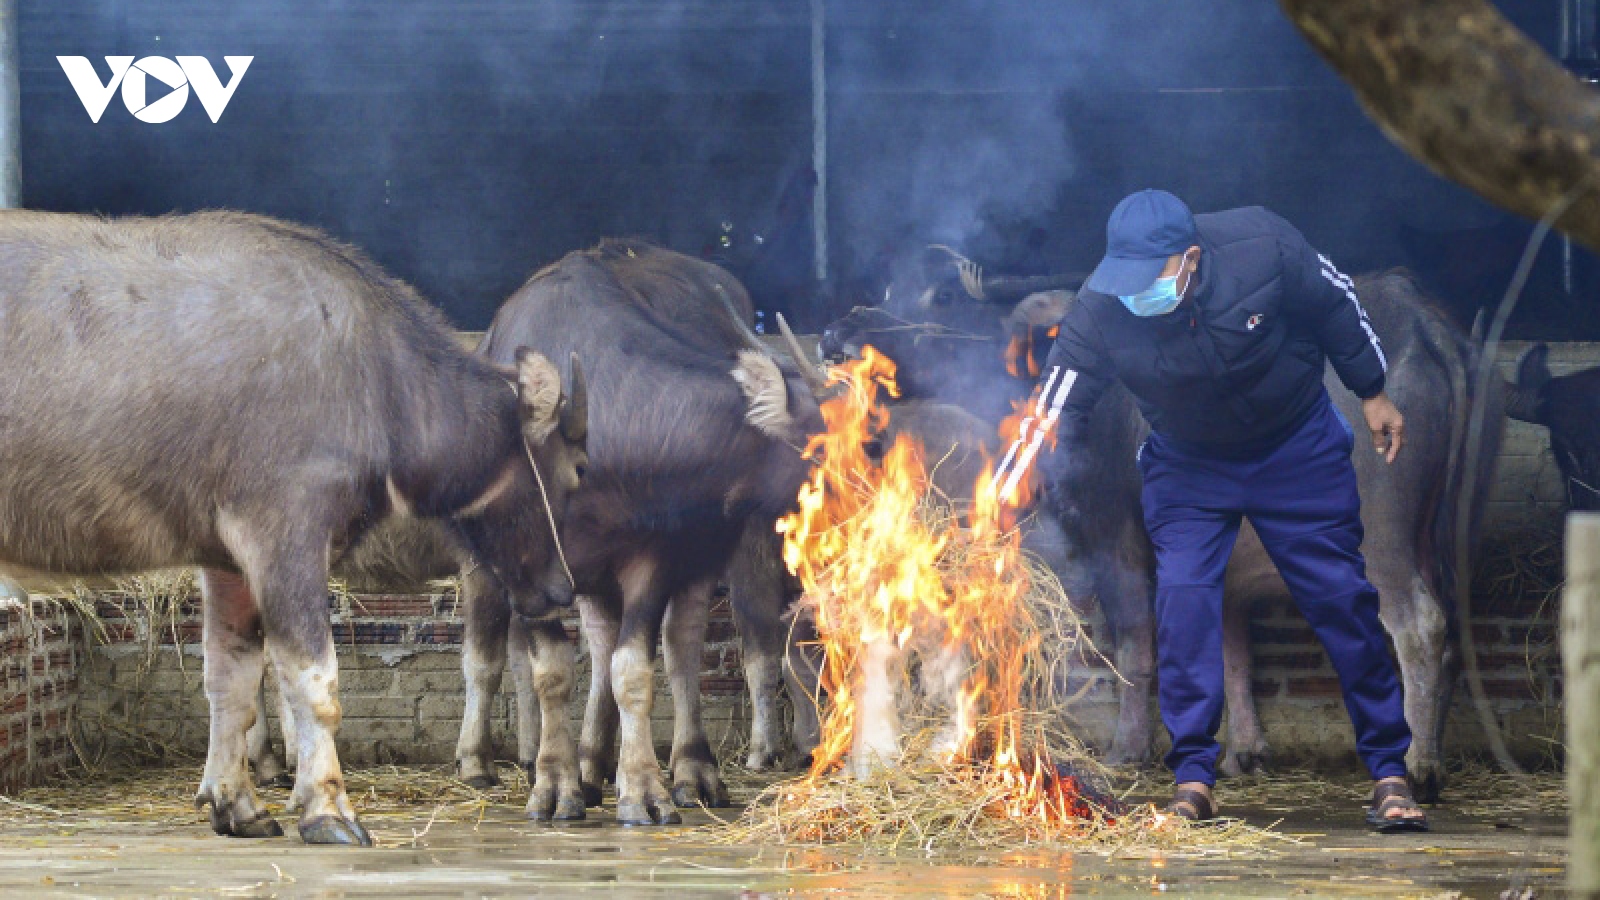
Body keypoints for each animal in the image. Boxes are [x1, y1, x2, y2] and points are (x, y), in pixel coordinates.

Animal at [0, 209, 588, 839]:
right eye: (575, 473)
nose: (563, 587)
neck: (375, 379)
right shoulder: (287, 535)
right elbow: (316, 682)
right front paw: (328, 807)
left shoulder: (227, 560)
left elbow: (230, 680)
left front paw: (238, 805)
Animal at [825, 254, 1497, 797]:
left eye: (940, 296)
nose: (835, 334)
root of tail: (1418, 318)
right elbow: (1230, 649)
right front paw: (1244, 751)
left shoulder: (1117, 541)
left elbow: (1135, 644)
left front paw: (1129, 746)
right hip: (1440, 532)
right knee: (1450, 630)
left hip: (1380, 535)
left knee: (1419, 624)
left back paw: (1417, 764)